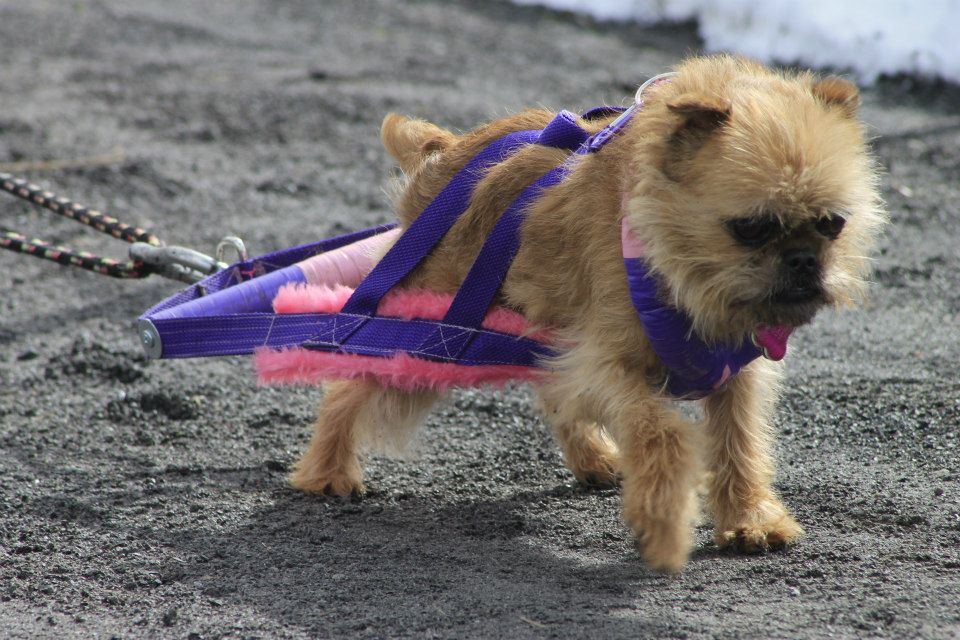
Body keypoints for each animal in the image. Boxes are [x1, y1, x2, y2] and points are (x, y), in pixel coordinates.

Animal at [286, 57, 884, 572]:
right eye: (752, 227)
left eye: (832, 223)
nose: (804, 259)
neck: (674, 269)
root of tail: (444, 158)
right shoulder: (603, 366)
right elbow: (663, 434)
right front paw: (662, 522)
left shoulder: (733, 376)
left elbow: (740, 441)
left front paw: (749, 517)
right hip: (429, 338)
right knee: (348, 387)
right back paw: (327, 470)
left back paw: (594, 458)